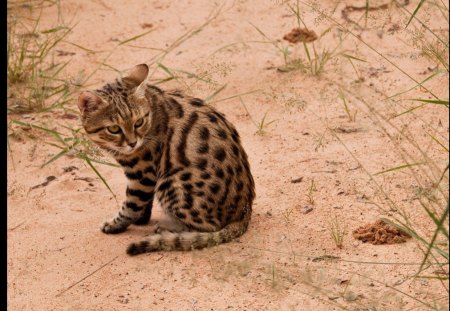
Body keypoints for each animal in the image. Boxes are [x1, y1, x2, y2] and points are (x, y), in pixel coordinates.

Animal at [76, 63, 255, 256]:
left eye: (138, 122)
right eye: (114, 129)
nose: (132, 143)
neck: (152, 109)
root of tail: (245, 213)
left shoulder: (142, 173)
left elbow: (132, 205)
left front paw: (115, 225)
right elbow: (144, 203)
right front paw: (141, 219)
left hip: (173, 183)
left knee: (210, 227)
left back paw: (167, 230)